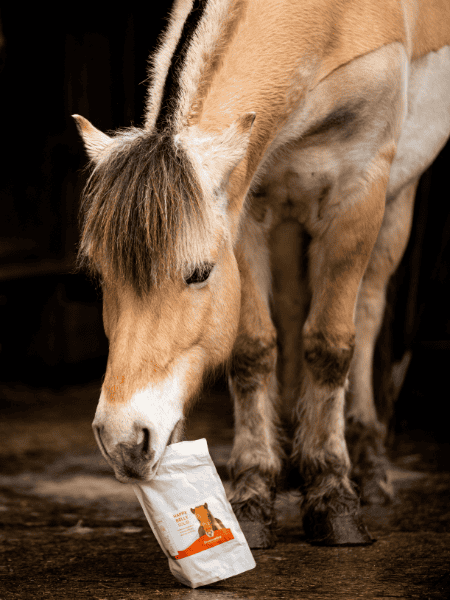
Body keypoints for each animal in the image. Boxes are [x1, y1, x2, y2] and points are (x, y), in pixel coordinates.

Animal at [73, 0, 450, 552]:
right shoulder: (248, 211)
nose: (124, 440)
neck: (327, 26)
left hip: (396, 204)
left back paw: (368, 466)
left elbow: (331, 345)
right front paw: (254, 492)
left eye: (200, 273)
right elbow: (253, 350)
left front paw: (334, 495)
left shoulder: (358, 197)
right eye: (101, 275)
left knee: (367, 311)